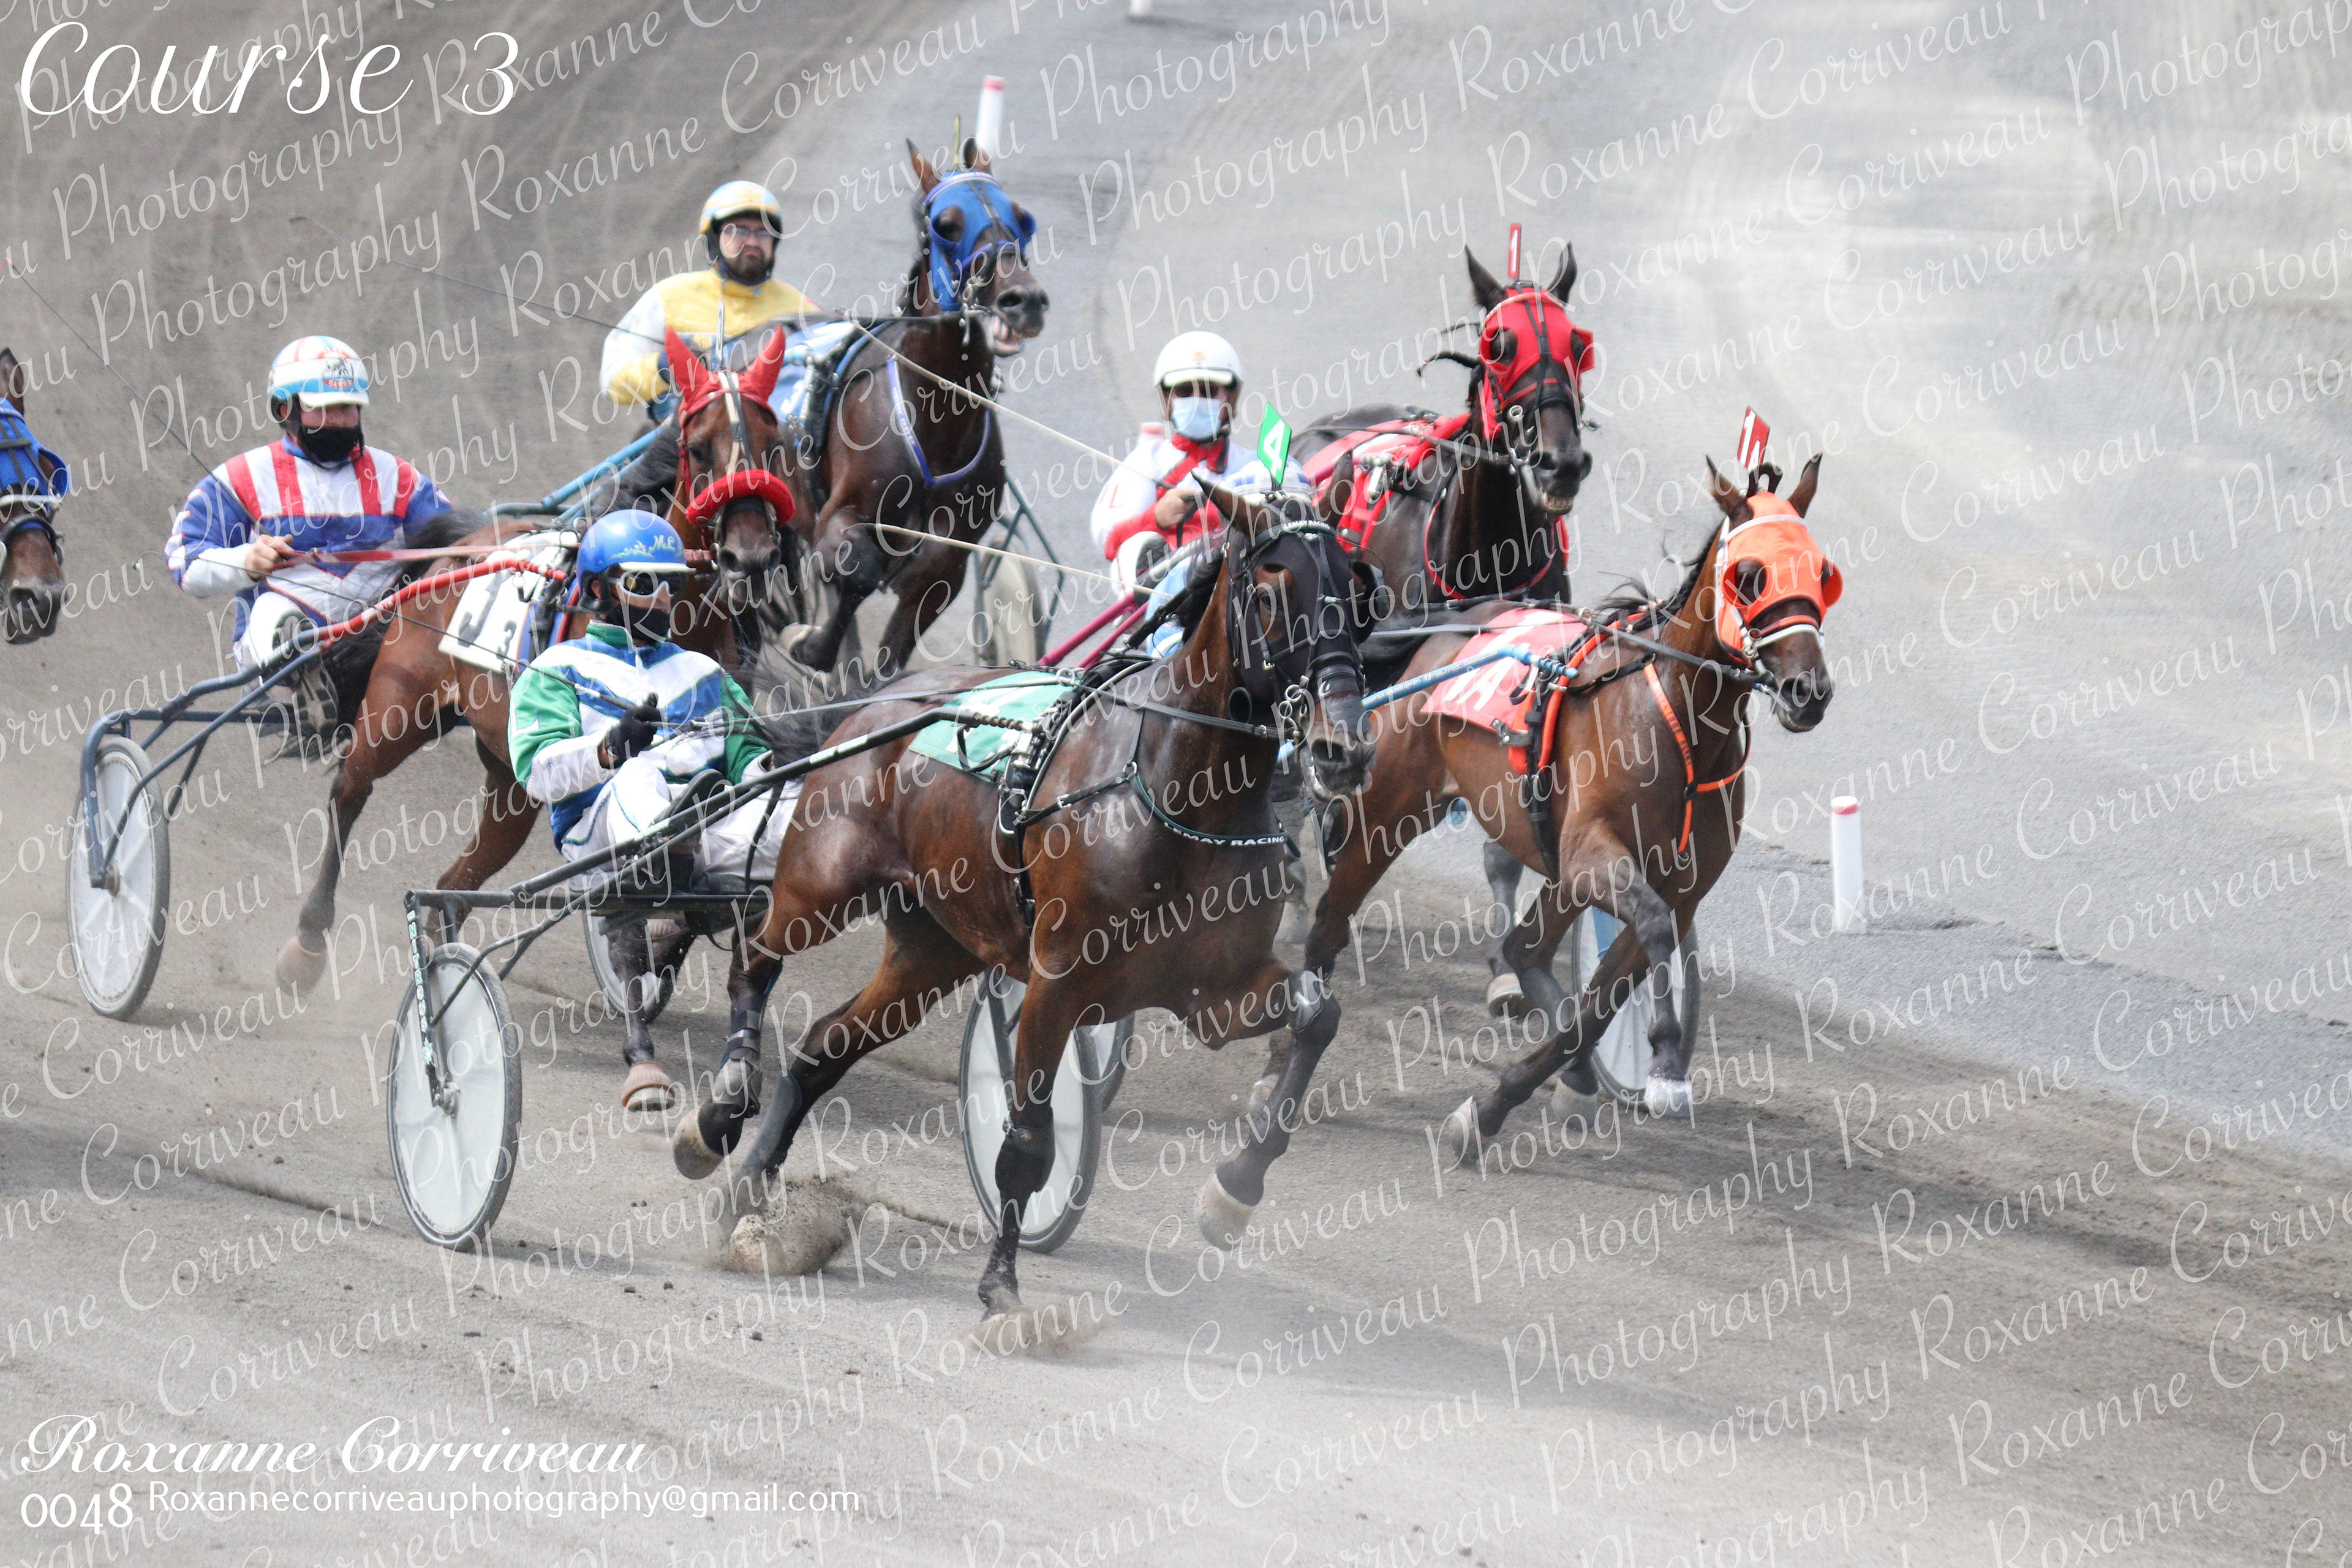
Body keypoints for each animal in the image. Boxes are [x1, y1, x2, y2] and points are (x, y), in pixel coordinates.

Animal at [274, 333, 796, 995]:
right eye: (700, 447)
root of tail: (463, 547)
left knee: (456, 884)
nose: (748, 556)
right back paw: (307, 944)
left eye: (775, 445)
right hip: (397, 711)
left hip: (509, 782)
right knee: (350, 789)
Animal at [672, 491, 1378, 1344]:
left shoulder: (1214, 993)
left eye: (1360, 593)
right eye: (1272, 596)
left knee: (823, 1045)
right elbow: (1030, 1142)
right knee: (758, 955)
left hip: (934, 947)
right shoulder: (1057, 982)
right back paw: (720, 1108)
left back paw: (748, 1190)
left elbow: (1317, 1013)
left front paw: (1233, 1191)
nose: (1343, 746)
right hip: (822, 882)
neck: (1175, 790)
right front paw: (1003, 1288)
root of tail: (884, 698)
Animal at [789, 140, 1048, 677]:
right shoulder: (835, 517)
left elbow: (917, 598)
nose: (1024, 300)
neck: (936, 420)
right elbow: (857, 567)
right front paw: (813, 647)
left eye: (1022, 217)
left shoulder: (950, 560)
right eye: (946, 225)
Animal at [1301, 456, 1840, 1150]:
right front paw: (1666, 1062)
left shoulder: (1678, 886)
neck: (1678, 721)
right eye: (1750, 576)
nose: (1809, 691)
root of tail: (1451, 628)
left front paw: (1495, 1107)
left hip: (1551, 865)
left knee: (1525, 948)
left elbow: (1603, 1000)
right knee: (1330, 921)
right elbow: (1649, 931)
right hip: (1389, 812)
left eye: (1822, 573)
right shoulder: (1596, 854)